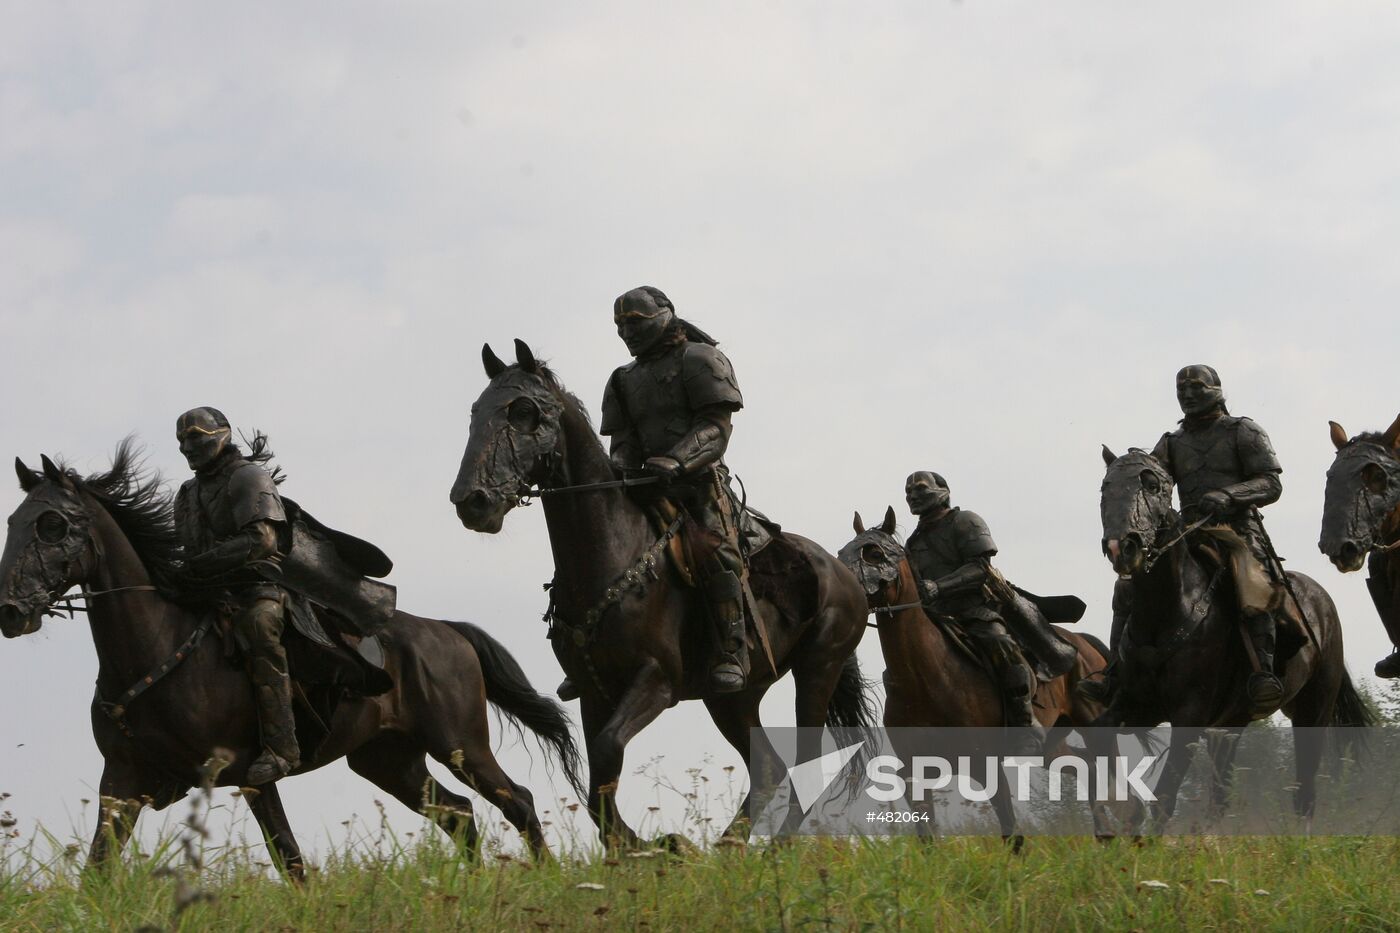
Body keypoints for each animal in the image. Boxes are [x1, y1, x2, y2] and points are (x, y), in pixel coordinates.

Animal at [0, 442, 579, 874]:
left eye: (52, 524)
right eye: (14, 521)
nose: (10, 611)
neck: (156, 648)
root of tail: (447, 631)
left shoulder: (253, 776)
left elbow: (290, 859)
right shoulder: (121, 783)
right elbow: (96, 870)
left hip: (460, 744)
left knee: (517, 800)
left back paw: (546, 879)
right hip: (389, 760)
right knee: (457, 814)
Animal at [450, 340, 873, 840]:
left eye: (523, 411)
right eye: (476, 411)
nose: (472, 501)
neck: (613, 553)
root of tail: (842, 573)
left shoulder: (656, 681)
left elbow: (609, 750)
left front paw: (654, 843)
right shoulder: (594, 691)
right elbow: (598, 787)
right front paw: (639, 844)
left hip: (817, 667)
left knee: (803, 762)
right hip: (732, 697)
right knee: (768, 766)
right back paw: (727, 846)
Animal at [834, 504, 1108, 840]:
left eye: (874, 553)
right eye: (842, 552)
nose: (842, 588)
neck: (923, 678)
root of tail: (1083, 643)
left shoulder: (985, 765)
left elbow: (1011, 832)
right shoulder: (915, 774)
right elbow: (928, 837)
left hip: (1092, 727)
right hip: (1052, 745)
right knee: (1087, 766)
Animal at [1092, 442, 1366, 823]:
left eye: (1153, 485)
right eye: (1106, 488)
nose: (1124, 547)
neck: (1168, 610)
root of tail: (1322, 602)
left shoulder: (1189, 718)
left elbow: (1165, 797)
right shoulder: (1133, 704)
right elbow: (1102, 740)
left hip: (1313, 714)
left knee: (1305, 794)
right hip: (1231, 726)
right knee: (1221, 795)